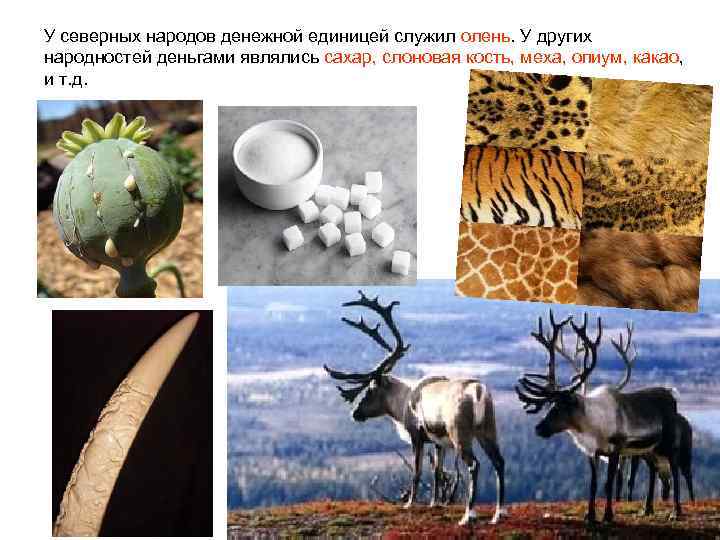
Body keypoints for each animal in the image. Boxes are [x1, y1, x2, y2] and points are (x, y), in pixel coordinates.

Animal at [324, 290, 506, 526]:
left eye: (371, 390)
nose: (355, 413)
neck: (402, 403)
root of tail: (478, 393)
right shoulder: (438, 442)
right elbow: (437, 471)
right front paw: (434, 503)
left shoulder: (416, 435)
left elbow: (417, 471)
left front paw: (409, 503)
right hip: (488, 429)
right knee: (499, 462)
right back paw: (499, 513)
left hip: (460, 433)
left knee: (474, 465)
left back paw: (468, 515)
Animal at [516, 311, 684, 523]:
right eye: (551, 405)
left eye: (562, 405)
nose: (539, 428)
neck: (592, 426)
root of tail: (672, 395)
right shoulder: (592, 453)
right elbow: (594, 484)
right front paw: (590, 515)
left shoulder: (616, 449)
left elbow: (609, 483)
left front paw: (608, 516)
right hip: (648, 449)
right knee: (654, 470)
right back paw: (647, 509)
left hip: (667, 443)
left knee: (675, 469)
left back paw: (676, 512)